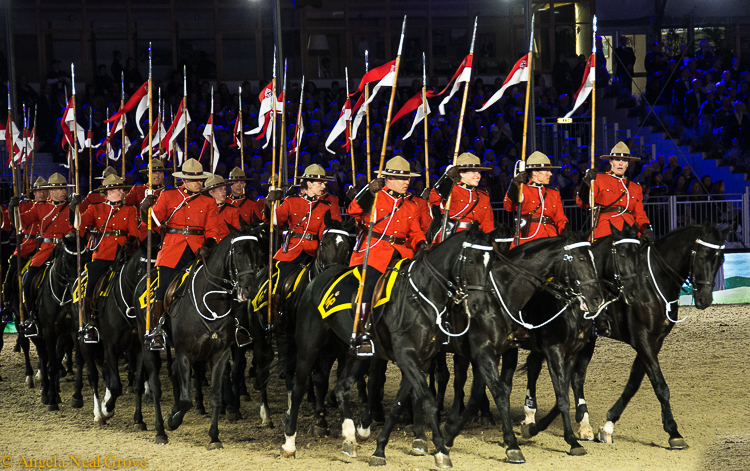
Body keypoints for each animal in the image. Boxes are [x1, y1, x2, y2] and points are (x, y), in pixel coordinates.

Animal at [137, 221, 268, 450]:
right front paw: (173, 421)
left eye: (260, 253)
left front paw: (214, 437)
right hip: (147, 345)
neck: (210, 300)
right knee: (155, 385)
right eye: (239, 252)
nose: (250, 288)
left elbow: (215, 396)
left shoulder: (220, 355)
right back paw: (161, 431)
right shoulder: (184, 354)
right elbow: (186, 400)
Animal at [516, 225, 648, 458]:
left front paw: (582, 425)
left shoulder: (581, 348)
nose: (634, 293)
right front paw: (572, 437)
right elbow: (563, 392)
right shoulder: (554, 349)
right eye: (622, 254)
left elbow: (572, 383)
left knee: (532, 367)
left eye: (639, 255)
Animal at [572, 221, 724, 450]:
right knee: (575, 377)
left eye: (720, 259)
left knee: (577, 377)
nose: (705, 299)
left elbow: (634, 383)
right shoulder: (642, 339)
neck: (653, 284)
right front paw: (674, 432)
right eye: (702, 256)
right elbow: (660, 385)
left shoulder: (654, 341)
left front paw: (608, 426)